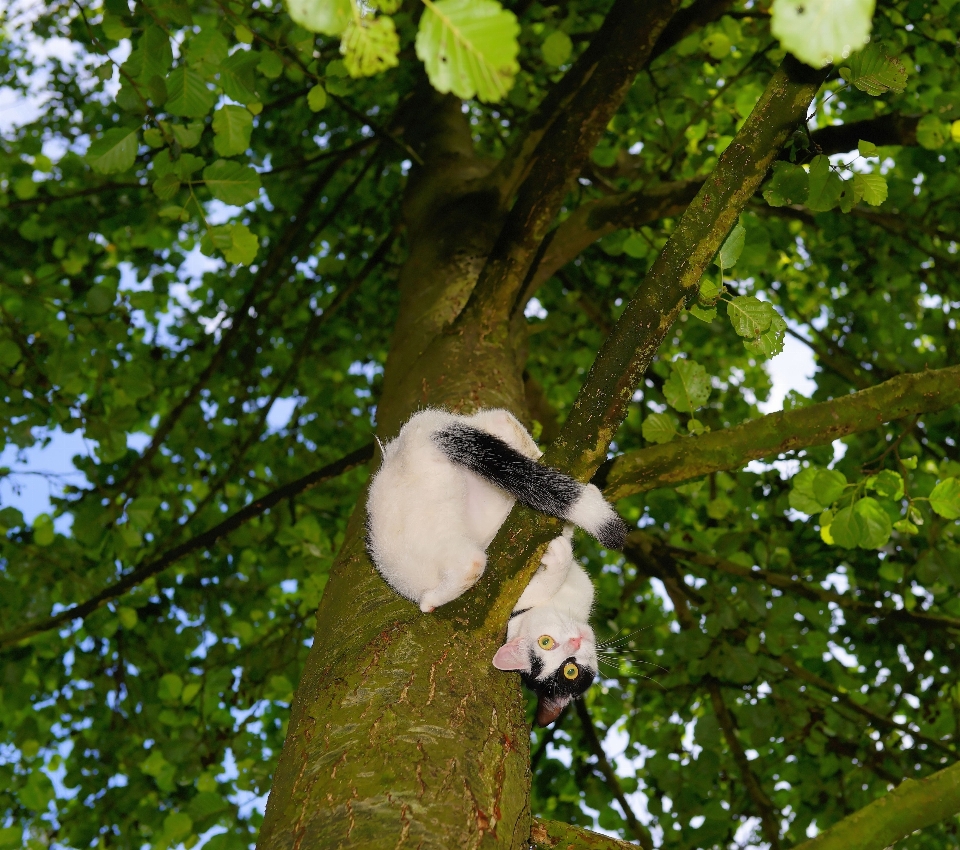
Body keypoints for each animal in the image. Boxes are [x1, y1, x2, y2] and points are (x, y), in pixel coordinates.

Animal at [364, 410, 628, 724]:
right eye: (546, 643)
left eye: (571, 671)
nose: (576, 641)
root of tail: (419, 439)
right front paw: (558, 556)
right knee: (472, 564)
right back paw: (432, 600)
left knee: (506, 423)